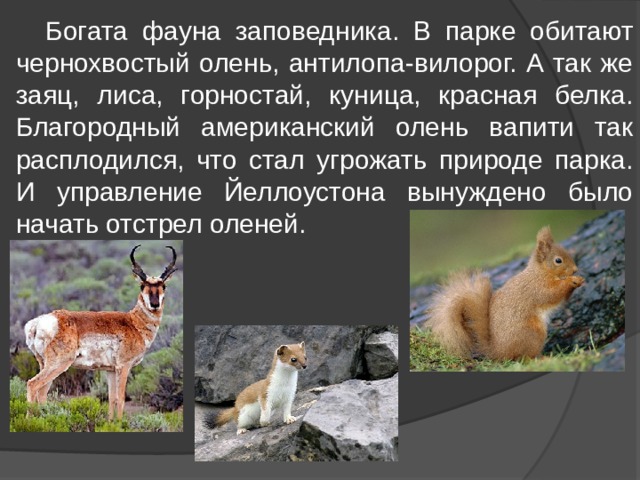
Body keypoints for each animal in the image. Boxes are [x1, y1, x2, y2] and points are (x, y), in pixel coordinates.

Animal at [24, 245, 178, 420]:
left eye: (163, 286)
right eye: (142, 286)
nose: (154, 304)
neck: (133, 322)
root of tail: (39, 322)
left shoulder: (110, 370)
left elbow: (112, 399)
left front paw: (111, 422)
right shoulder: (123, 367)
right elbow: (121, 399)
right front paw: (121, 423)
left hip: (44, 364)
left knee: (41, 392)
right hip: (58, 364)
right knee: (33, 384)